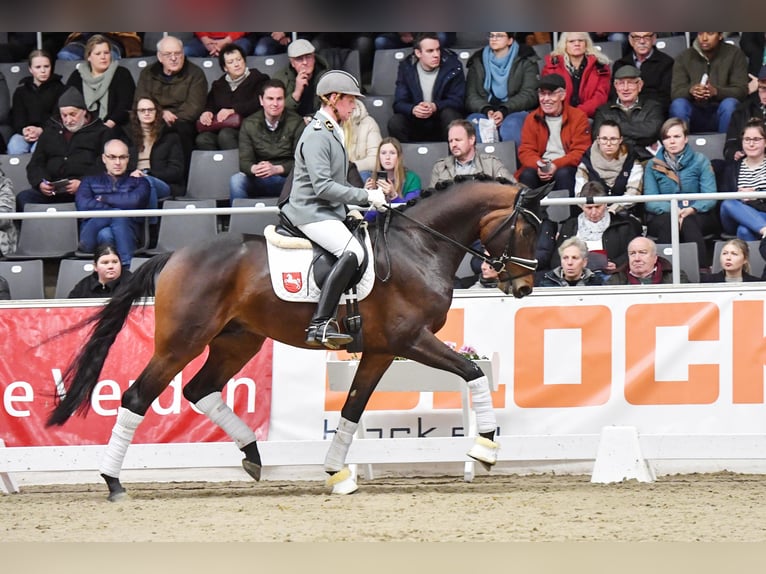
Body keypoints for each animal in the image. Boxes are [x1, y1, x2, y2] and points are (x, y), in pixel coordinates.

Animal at [46, 179, 544, 500]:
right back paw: (113, 482)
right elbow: (473, 371)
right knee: (137, 396)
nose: (523, 287)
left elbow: (351, 410)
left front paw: (336, 474)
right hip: (179, 344)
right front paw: (485, 448)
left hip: (237, 341)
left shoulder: (381, 351)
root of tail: (173, 255)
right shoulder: (411, 340)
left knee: (199, 389)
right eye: (528, 228)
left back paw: (252, 455)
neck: (419, 247)